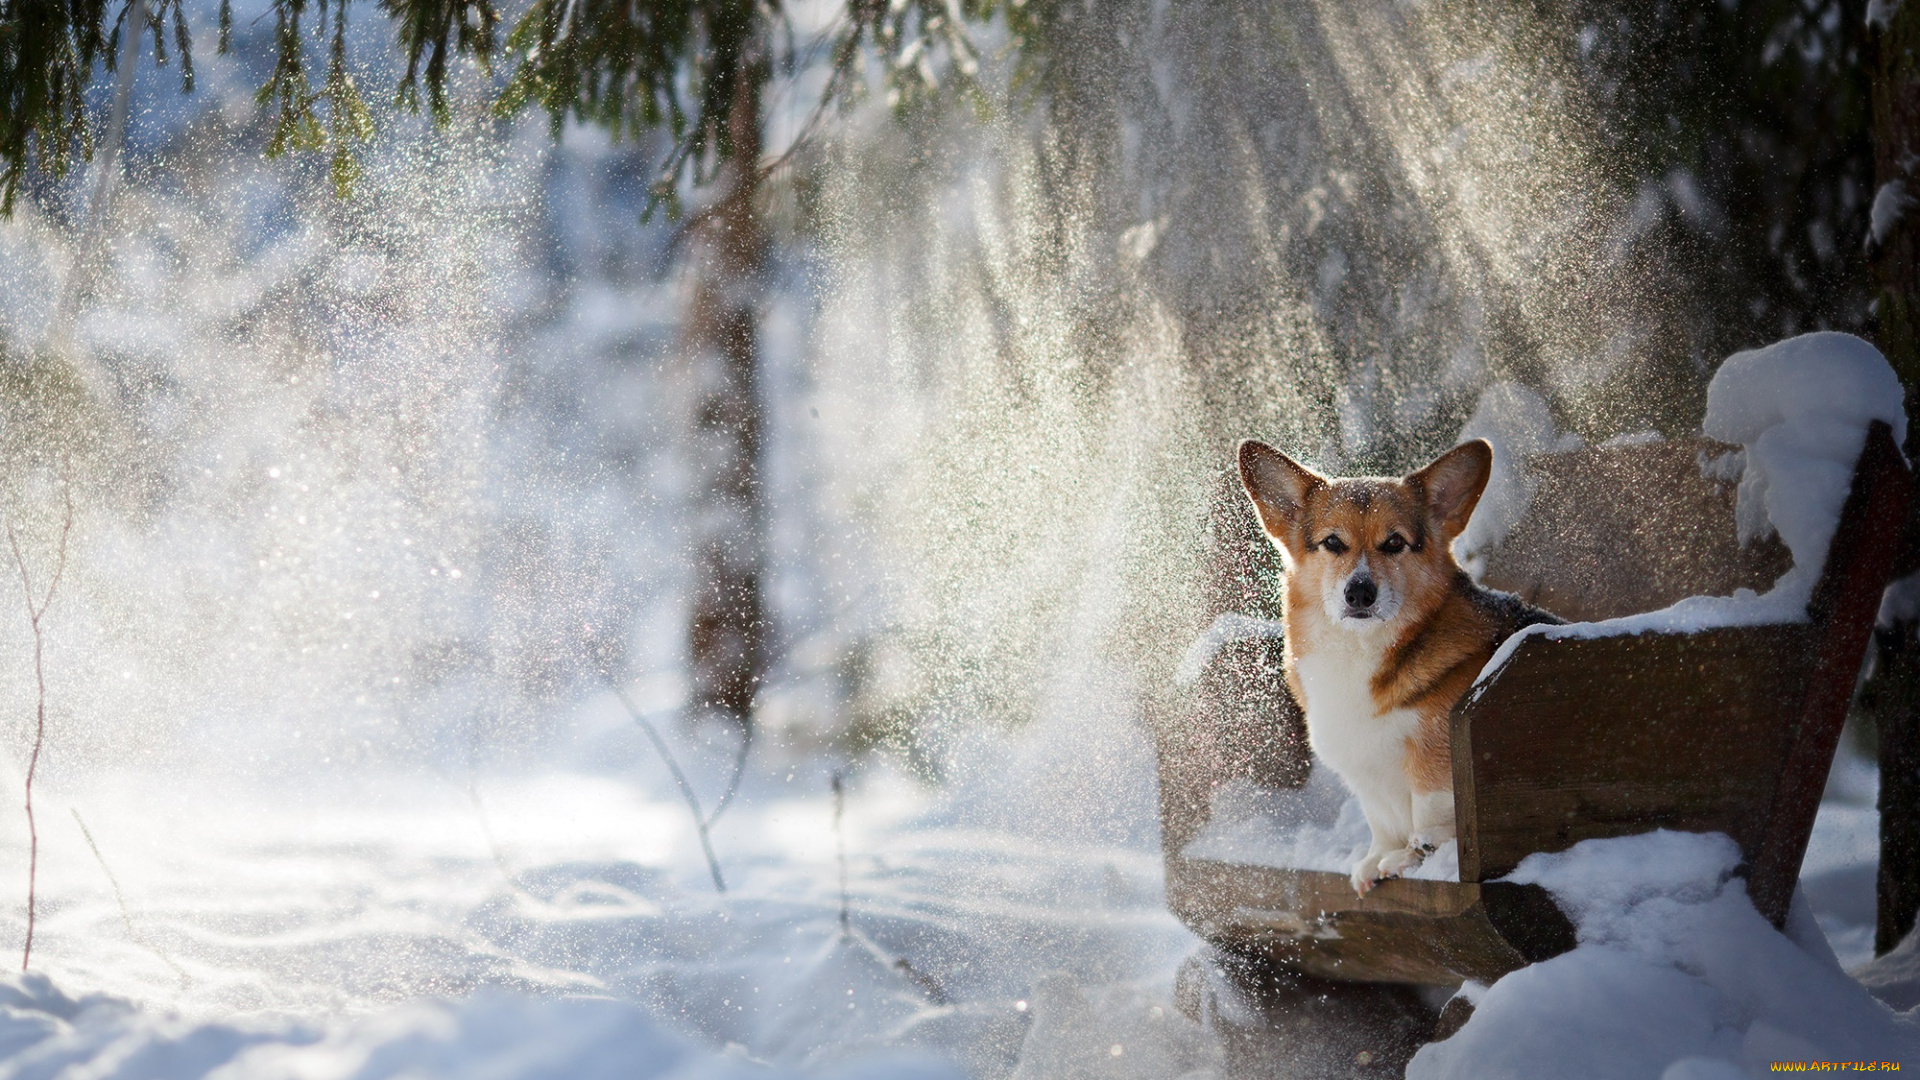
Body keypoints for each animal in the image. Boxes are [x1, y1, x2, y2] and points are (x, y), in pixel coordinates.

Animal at [1236, 434, 1566, 891]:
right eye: (1333, 542)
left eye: (1394, 542)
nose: (1359, 593)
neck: (1358, 649)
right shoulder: (1367, 777)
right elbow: (1380, 821)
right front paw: (1376, 860)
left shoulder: (1436, 755)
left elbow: (1430, 812)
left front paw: (1413, 858)